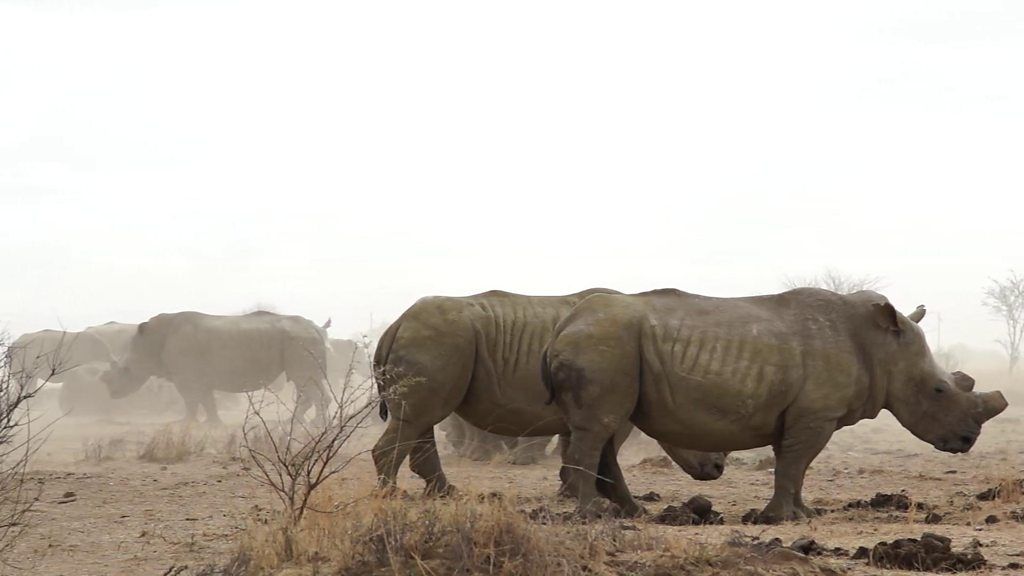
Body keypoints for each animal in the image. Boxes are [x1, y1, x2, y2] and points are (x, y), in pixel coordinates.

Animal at [100, 311, 330, 423]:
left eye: (125, 370)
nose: (112, 394)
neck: (148, 343)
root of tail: (317, 328)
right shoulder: (198, 376)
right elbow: (206, 400)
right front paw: (212, 423)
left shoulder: (186, 376)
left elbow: (191, 400)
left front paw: (184, 423)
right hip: (301, 342)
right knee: (309, 382)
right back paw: (303, 422)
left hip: (300, 341)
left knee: (304, 381)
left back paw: (310, 424)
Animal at [372, 289, 727, 497]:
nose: (716, 470)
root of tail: (396, 323)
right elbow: (603, 448)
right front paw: (582, 494)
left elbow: (574, 445)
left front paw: (569, 490)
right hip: (439, 338)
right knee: (420, 417)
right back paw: (392, 497)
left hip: (436, 339)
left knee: (419, 419)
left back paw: (446, 493)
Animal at [542, 288, 1009, 522]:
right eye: (939, 391)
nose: (967, 440)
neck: (882, 347)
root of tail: (562, 326)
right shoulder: (816, 414)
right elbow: (794, 464)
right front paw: (778, 520)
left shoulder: (803, 414)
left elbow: (794, 466)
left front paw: (803, 514)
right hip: (603, 344)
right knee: (598, 428)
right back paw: (592, 516)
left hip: (608, 344)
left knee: (603, 429)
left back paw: (632, 513)